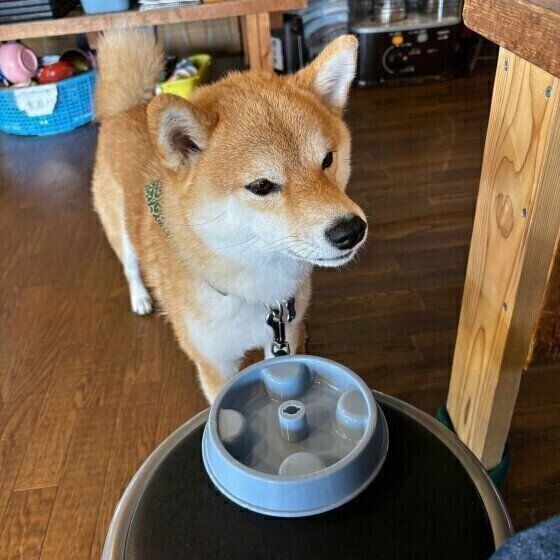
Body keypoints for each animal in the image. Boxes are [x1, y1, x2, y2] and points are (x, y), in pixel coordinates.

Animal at [92, 28, 368, 400]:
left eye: (327, 160)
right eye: (262, 186)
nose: (350, 230)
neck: (256, 290)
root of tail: (126, 108)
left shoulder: (285, 337)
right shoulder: (214, 366)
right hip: (121, 234)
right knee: (131, 268)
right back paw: (140, 298)